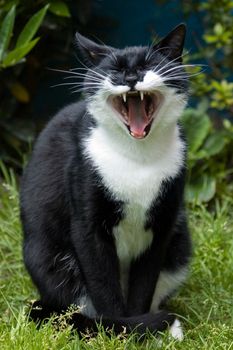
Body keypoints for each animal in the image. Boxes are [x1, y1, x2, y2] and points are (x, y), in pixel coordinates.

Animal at [19, 22, 191, 340]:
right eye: (114, 69)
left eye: (149, 64)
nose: (132, 78)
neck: (138, 158)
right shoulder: (87, 220)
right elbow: (102, 283)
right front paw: (120, 331)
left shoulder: (161, 225)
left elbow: (144, 283)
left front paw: (141, 330)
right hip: (47, 257)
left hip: (180, 242)